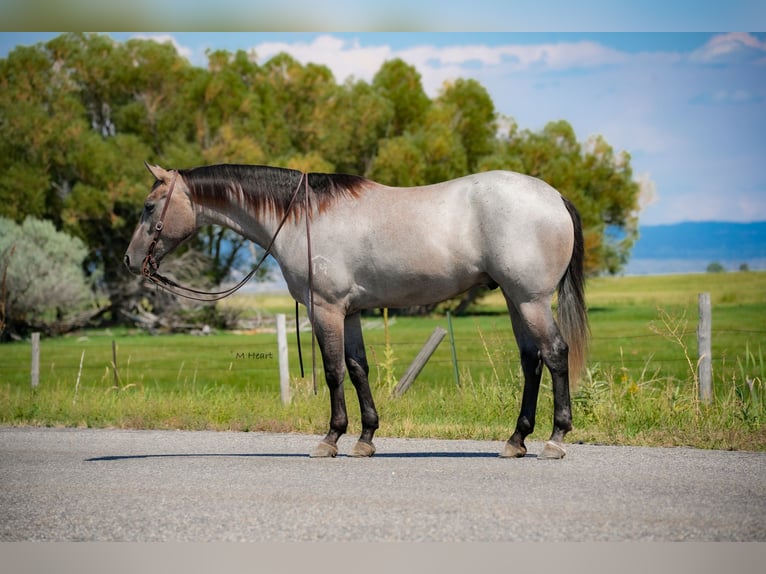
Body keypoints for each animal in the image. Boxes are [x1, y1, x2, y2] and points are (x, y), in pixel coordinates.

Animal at [124, 163, 588, 459]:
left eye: (149, 207)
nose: (130, 261)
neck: (301, 217)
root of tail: (554, 197)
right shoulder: (348, 313)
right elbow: (358, 367)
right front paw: (365, 438)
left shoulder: (326, 310)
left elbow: (333, 371)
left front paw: (330, 438)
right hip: (515, 299)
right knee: (531, 362)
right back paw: (516, 440)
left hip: (529, 299)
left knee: (555, 354)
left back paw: (555, 439)